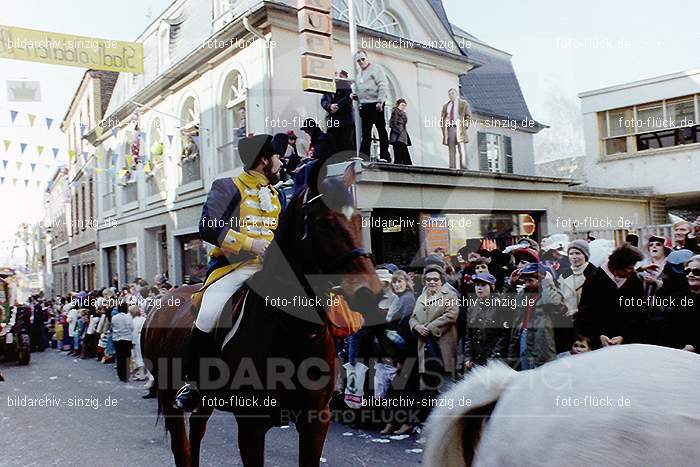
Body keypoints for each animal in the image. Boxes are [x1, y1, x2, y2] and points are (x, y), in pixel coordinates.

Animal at [142, 166, 380, 466]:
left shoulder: (316, 420)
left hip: (203, 402)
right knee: (181, 447)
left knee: (195, 437)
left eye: (359, 218)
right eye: (324, 223)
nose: (370, 293)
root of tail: (157, 305)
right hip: (169, 395)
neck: (295, 334)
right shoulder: (251, 424)